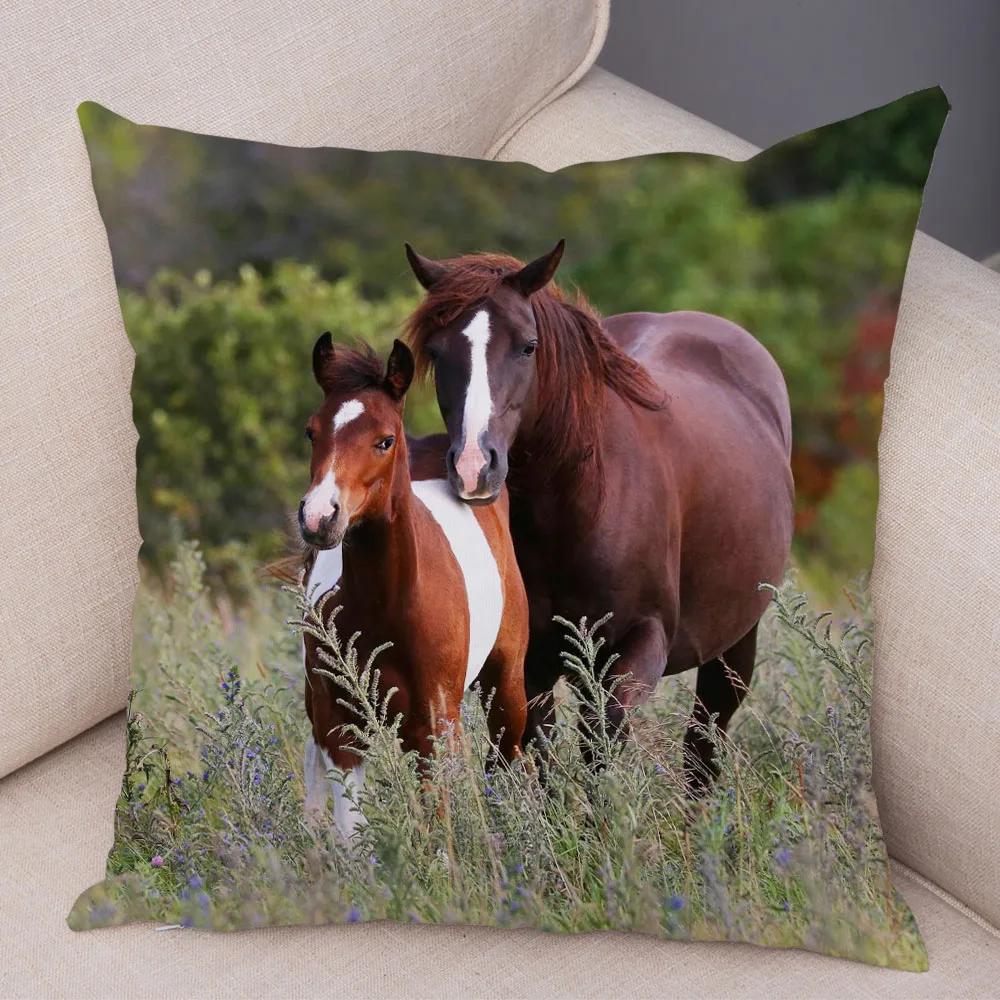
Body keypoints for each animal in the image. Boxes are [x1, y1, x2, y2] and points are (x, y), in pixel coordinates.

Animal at [298, 334, 528, 837]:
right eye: (312, 432)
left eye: (385, 440)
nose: (319, 517)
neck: (386, 605)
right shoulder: (340, 723)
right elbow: (351, 831)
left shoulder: (435, 726)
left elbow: (440, 821)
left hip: (506, 684)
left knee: (510, 757)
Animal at [403, 241, 794, 790]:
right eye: (438, 354)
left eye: (528, 346)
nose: (474, 467)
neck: (576, 510)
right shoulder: (524, 664)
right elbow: (534, 753)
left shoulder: (638, 647)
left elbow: (601, 748)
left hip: (733, 648)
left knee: (702, 747)